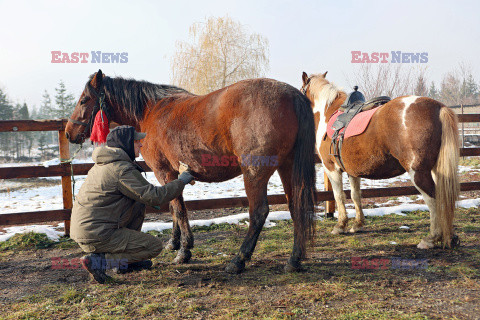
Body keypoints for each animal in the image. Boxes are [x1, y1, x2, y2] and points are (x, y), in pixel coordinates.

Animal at [65, 69, 316, 272]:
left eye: (84, 99)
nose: (69, 132)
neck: (150, 111)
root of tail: (293, 95)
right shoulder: (172, 174)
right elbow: (174, 205)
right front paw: (174, 242)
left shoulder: (164, 171)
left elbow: (179, 209)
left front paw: (183, 251)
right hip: (287, 167)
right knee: (296, 207)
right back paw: (294, 260)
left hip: (254, 174)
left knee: (259, 213)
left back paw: (238, 260)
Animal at [300, 71, 462, 249]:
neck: (328, 113)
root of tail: (438, 108)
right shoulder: (352, 171)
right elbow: (355, 195)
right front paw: (357, 224)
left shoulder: (332, 169)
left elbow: (339, 196)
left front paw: (340, 226)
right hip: (435, 170)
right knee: (445, 199)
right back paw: (450, 236)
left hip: (418, 173)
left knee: (433, 200)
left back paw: (431, 238)